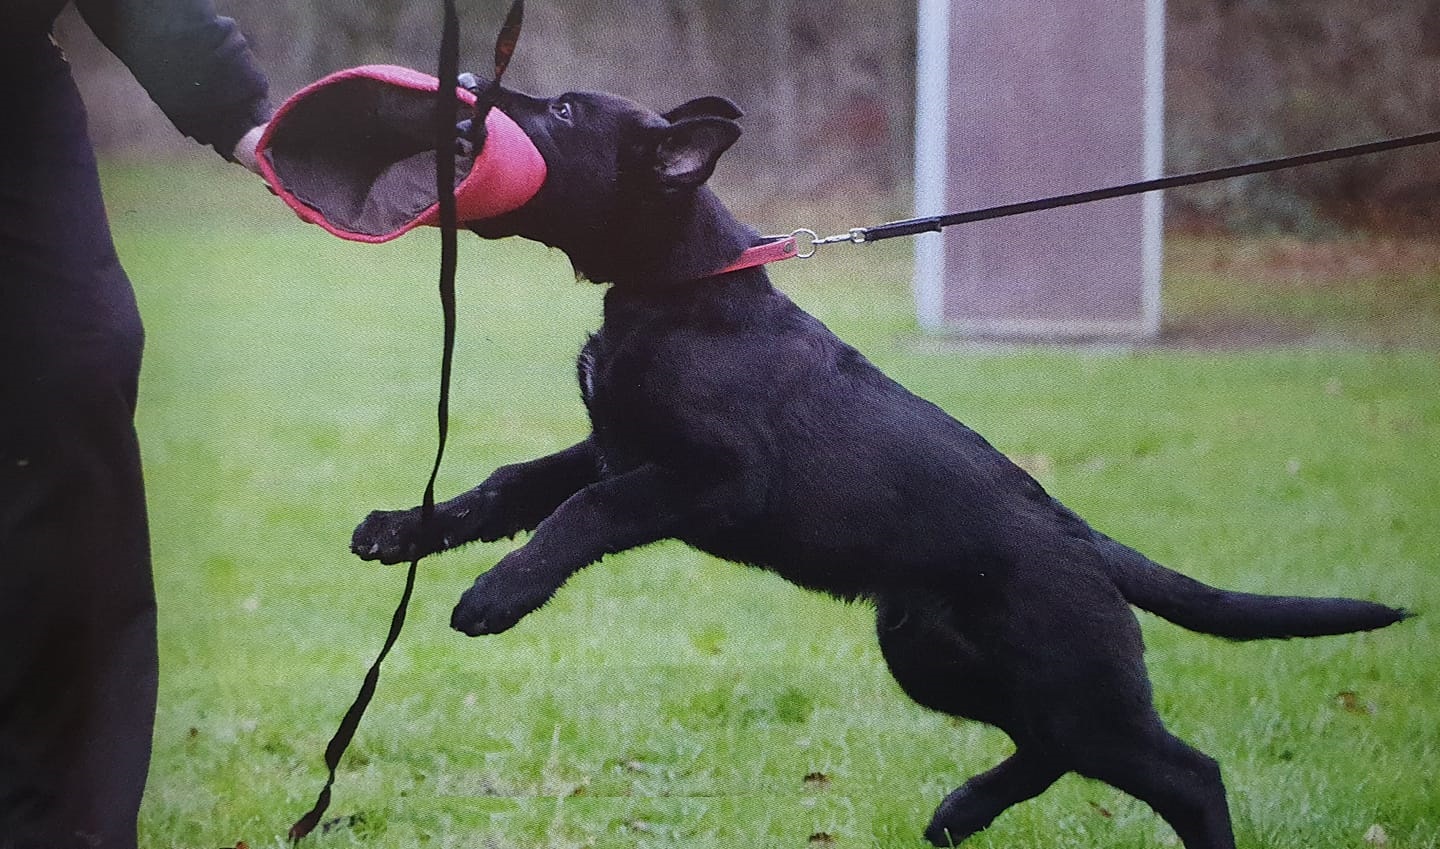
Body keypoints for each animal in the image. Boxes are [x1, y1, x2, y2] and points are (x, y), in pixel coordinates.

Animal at [351, 81, 1405, 849]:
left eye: (565, 114)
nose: (470, 104)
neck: (680, 287)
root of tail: (1092, 545)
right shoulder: (607, 444)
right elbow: (505, 488)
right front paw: (399, 531)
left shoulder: (704, 477)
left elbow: (585, 514)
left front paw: (495, 595)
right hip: (933, 654)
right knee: (1050, 744)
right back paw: (961, 811)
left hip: (1072, 680)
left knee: (1187, 773)